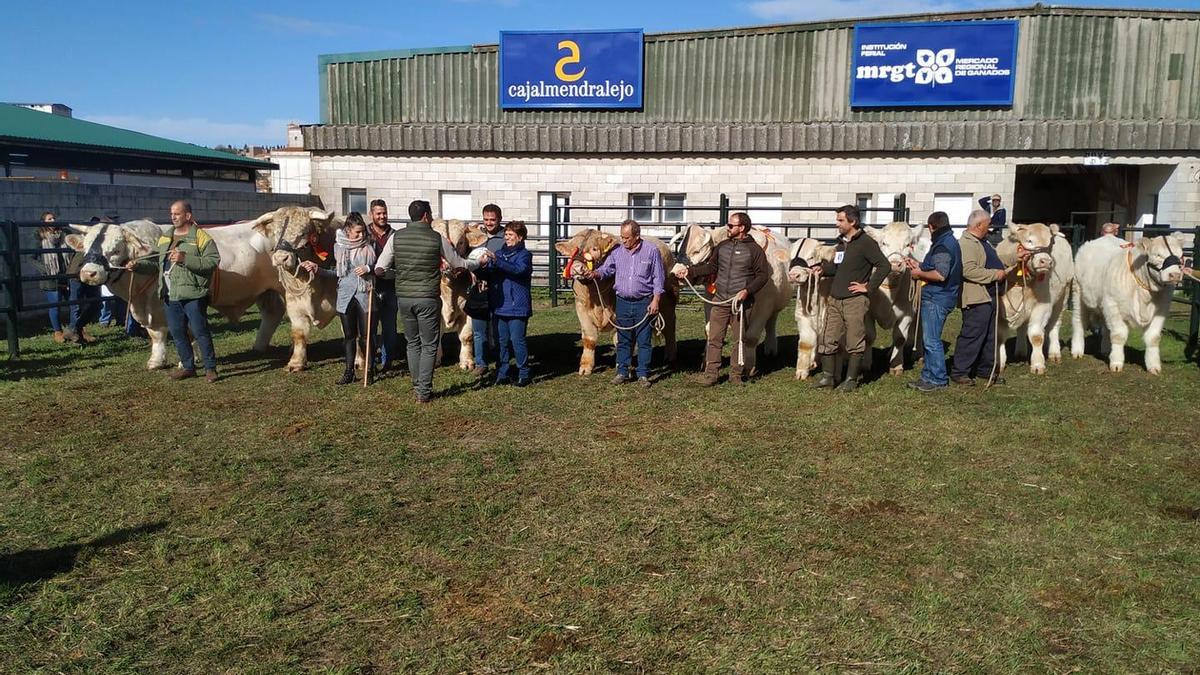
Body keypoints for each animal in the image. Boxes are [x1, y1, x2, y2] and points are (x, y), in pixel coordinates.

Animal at [787, 235, 835, 379]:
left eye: (811, 256)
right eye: (791, 257)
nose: (793, 275)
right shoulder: (803, 315)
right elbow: (806, 342)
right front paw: (802, 371)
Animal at [868, 224, 931, 372]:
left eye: (908, 244)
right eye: (883, 243)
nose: (896, 264)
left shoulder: (907, 313)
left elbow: (900, 338)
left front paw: (896, 365)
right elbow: (869, 337)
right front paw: (865, 364)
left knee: (920, 330)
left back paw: (919, 355)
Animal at [1075, 233, 1185, 372]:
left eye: (1180, 256)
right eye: (1158, 255)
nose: (1175, 275)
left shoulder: (1161, 311)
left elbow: (1153, 338)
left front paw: (1154, 366)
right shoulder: (1114, 306)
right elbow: (1119, 335)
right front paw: (1116, 363)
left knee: (1106, 328)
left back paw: (1106, 350)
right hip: (1079, 294)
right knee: (1079, 321)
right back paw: (1077, 351)